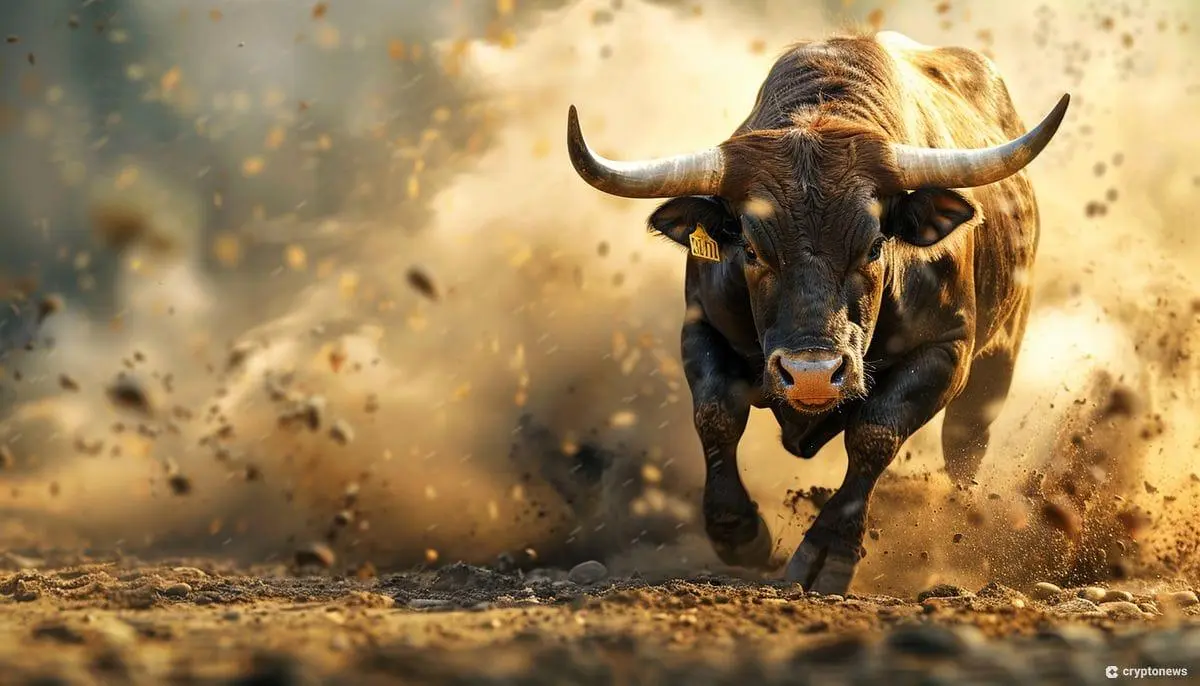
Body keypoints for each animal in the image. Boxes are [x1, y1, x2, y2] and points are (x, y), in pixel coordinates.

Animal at [564, 31, 1069, 594]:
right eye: (752, 249)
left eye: (875, 245)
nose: (812, 375)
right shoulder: (700, 327)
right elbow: (716, 414)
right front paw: (738, 533)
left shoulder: (947, 351)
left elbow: (875, 432)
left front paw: (828, 553)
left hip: (1000, 357)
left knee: (965, 446)